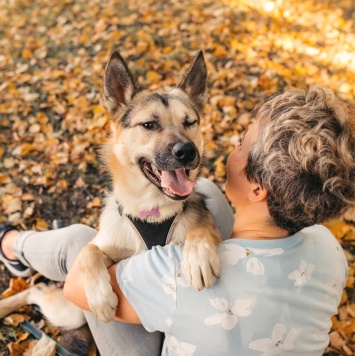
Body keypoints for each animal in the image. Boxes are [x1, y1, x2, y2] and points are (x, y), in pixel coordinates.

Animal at [77, 50, 222, 322]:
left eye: (189, 122)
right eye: (149, 125)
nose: (187, 152)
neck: (152, 210)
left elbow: (199, 229)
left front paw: (199, 256)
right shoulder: (111, 247)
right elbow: (87, 251)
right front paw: (101, 298)